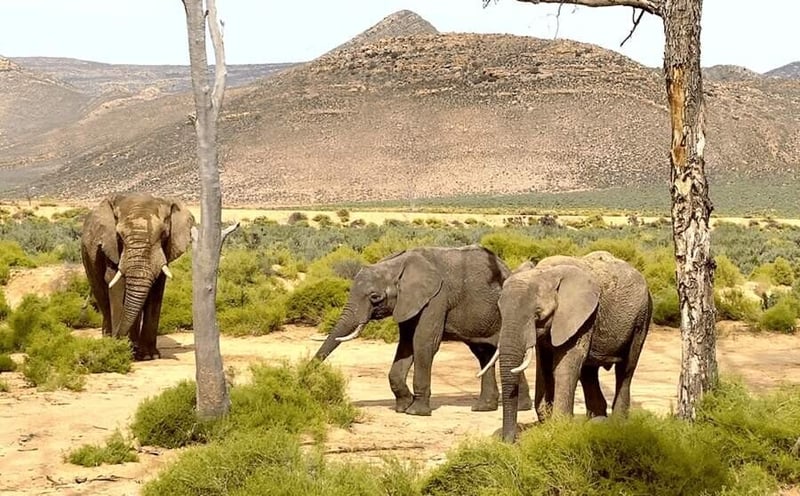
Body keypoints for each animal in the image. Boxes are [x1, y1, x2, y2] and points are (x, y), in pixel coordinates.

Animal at [80, 193, 195, 360]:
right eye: (119, 236)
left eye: (163, 234)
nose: (118, 339)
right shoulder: (111, 246)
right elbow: (116, 283)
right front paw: (121, 349)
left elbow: (156, 290)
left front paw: (148, 356)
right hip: (87, 257)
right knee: (101, 294)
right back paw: (111, 340)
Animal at [313, 245, 532, 416]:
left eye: (375, 297)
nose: (308, 376)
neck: (396, 265)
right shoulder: (408, 303)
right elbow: (406, 344)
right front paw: (403, 406)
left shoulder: (436, 298)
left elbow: (423, 342)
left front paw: (416, 411)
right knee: (483, 353)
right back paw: (485, 408)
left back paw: (520, 408)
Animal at [486, 250, 652, 442]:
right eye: (500, 311)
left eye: (538, 314)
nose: (509, 441)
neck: (546, 272)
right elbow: (544, 366)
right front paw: (546, 421)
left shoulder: (583, 317)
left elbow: (564, 366)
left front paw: (558, 428)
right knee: (588, 372)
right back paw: (596, 419)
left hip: (642, 318)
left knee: (626, 369)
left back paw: (616, 424)